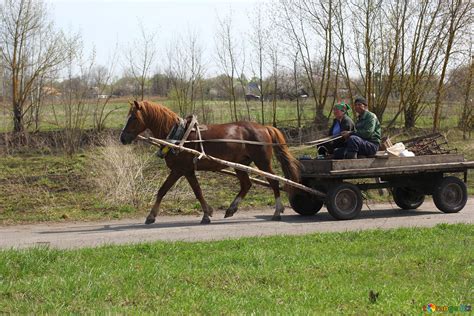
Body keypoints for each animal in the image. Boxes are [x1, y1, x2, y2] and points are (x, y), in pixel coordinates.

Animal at [121, 101, 300, 225]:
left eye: (134, 117)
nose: (122, 138)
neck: (178, 136)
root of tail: (265, 127)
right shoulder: (186, 171)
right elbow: (189, 191)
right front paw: (207, 213)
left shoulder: (181, 170)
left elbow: (171, 190)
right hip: (240, 164)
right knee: (246, 184)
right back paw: (231, 209)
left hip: (262, 162)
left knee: (274, 182)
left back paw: (277, 212)